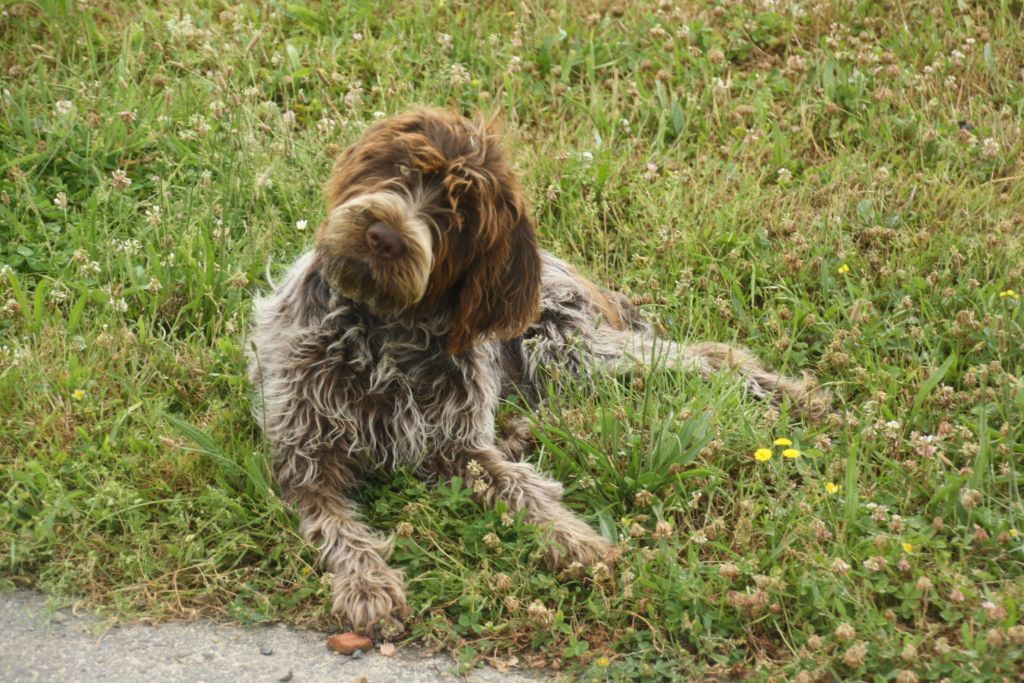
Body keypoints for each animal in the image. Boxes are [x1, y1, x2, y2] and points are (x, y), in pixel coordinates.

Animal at [249, 109, 831, 638]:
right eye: (399, 169)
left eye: (458, 218)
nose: (382, 237)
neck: (380, 335)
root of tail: (556, 262)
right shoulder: (306, 458)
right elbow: (339, 528)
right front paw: (367, 585)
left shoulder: (459, 446)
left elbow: (521, 491)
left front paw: (577, 541)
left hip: (566, 349)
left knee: (703, 358)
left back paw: (794, 396)